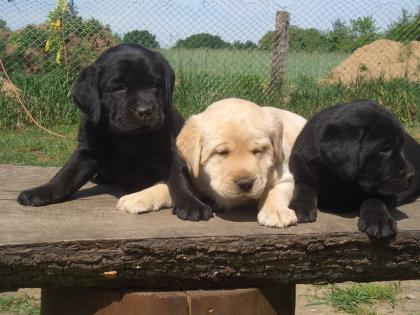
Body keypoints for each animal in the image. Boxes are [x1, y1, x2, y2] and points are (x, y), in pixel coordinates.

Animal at [17, 43, 213, 221]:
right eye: (118, 88)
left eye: (154, 84)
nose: (145, 111)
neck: (127, 137)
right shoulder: (88, 150)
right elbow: (66, 175)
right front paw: (43, 190)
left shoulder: (169, 151)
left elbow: (179, 178)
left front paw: (190, 203)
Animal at [118, 99, 306, 230]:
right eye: (221, 152)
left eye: (258, 151)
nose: (246, 183)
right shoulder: (193, 176)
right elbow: (167, 187)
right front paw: (137, 197)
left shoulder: (285, 176)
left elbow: (273, 191)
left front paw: (276, 212)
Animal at [288, 100, 420, 241]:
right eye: (385, 148)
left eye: (401, 147)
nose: (411, 176)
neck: (338, 178)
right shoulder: (303, 168)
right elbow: (303, 187)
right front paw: (300, 207)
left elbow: (375, 199)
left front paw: (380, 221)